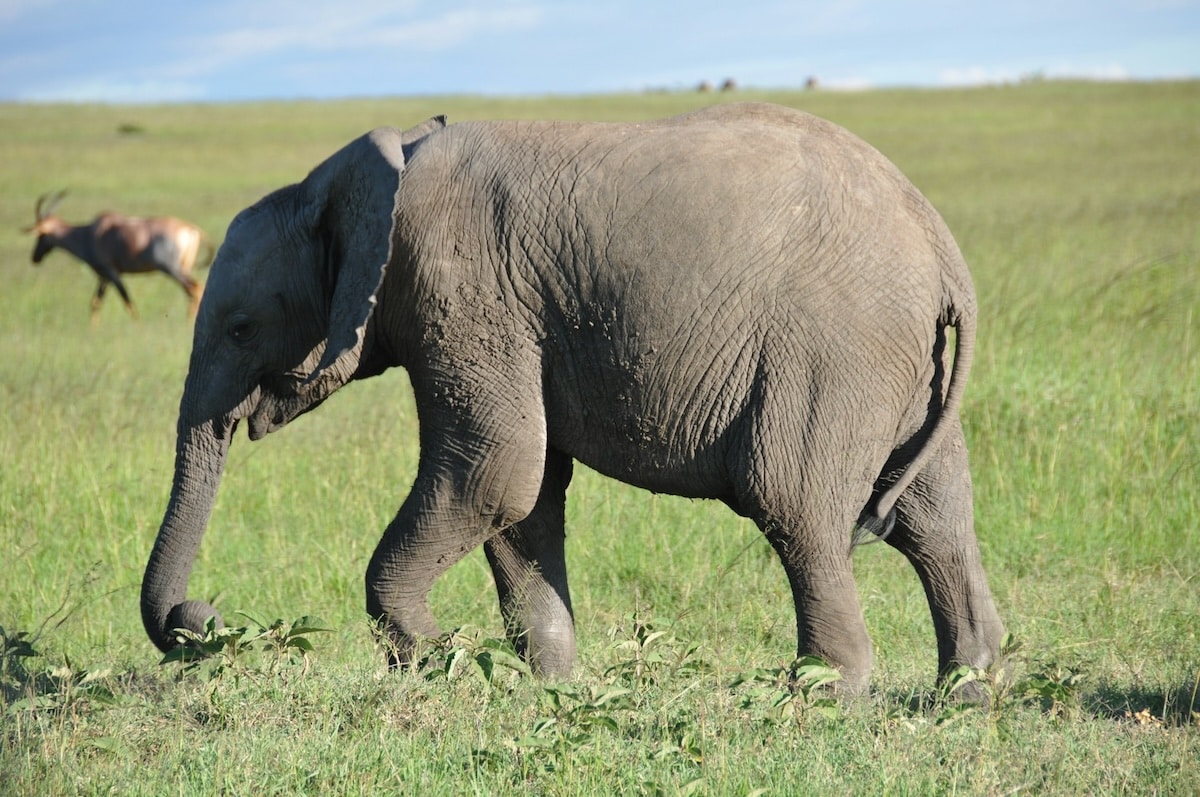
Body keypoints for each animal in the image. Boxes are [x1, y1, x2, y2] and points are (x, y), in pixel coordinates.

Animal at [141, 102, 1006, 693]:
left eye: (242, 328)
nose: (201, 618)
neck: (351, 176)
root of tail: (944, 249)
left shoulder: (456, 282)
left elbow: (494, 470)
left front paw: (443, 655)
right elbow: (525, 495)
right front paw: (544, 681)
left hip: (834, 350)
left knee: (793, 502)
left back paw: (823, 696)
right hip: (901, 368)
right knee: (936, 516)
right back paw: (965, 691)